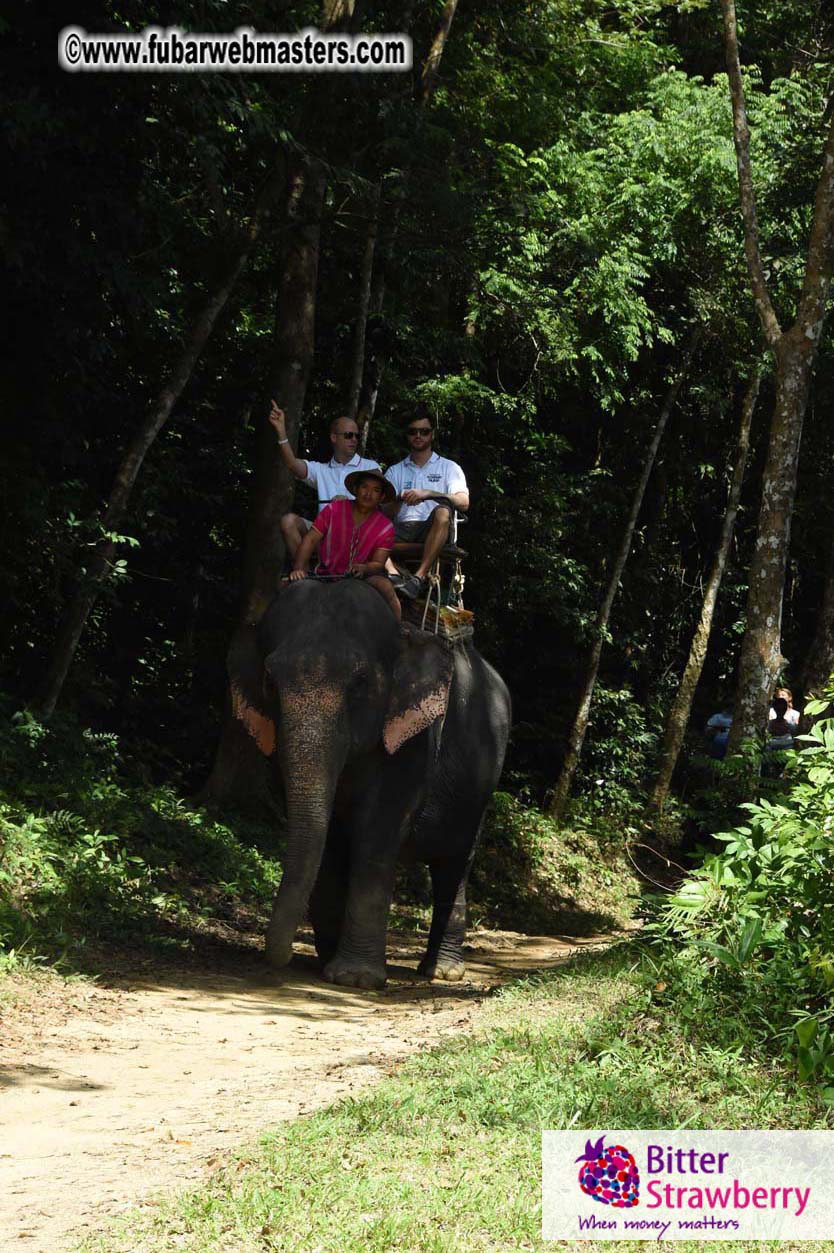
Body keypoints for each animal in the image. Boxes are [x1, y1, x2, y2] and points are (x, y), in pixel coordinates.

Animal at [230, 577, 511, 990]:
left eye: (360, 683)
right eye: (269, 681)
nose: (280, 959)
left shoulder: (412, 739)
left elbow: (377, 832)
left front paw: (355, 978)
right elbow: (329, 841)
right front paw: (327, 964)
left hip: (484, 779)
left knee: (455, 863)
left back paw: (441, 972)